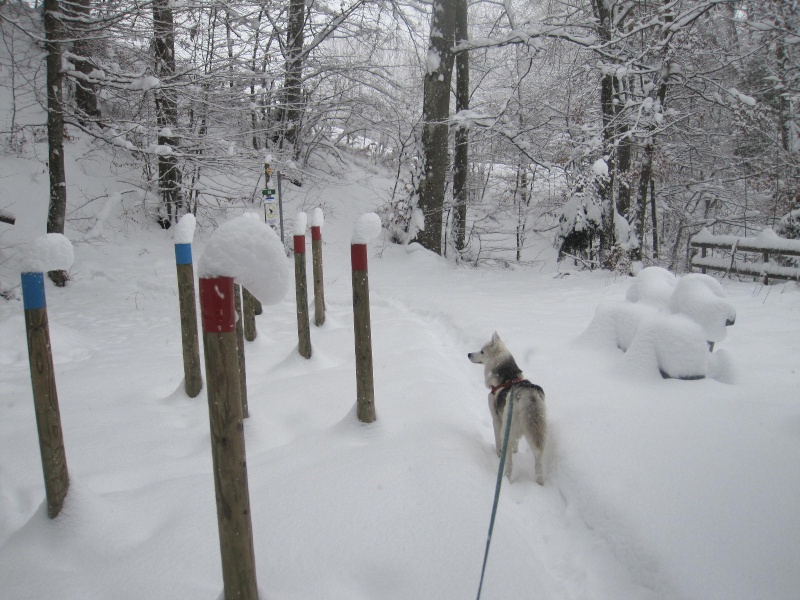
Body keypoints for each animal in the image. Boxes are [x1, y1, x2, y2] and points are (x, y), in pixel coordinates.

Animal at [466, 332, 548, 488]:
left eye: (482, 351)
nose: (468, 354)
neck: (508, 377)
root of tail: (528, 394)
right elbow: (516, 446)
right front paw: (516, 452)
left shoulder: (496, 419)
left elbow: (498, 441)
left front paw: (498, 454)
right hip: (536, 434)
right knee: (539, 462)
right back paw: (539, 483)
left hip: (508, 430)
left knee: (509, 463)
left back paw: (505, 478)